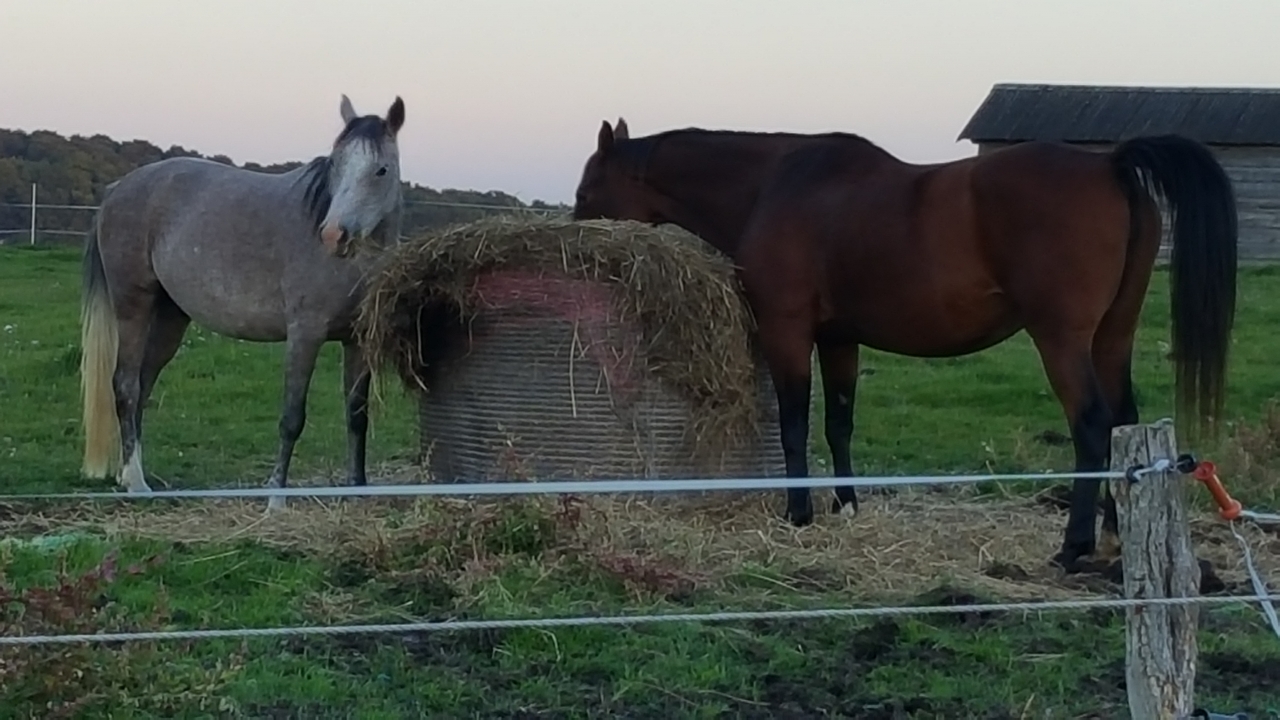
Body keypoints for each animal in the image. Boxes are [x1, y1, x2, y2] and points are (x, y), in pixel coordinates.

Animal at [79, 94, 406, 510]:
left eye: (381, 170)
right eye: (336, 165)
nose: (335, 235)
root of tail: (117, 189)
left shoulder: (358, 341)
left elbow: (357, 414)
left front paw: (357, 491)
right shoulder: (305, 336)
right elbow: (292, 417)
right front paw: (276, 499)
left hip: (170, 316)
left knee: (142, 383)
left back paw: (129, 474)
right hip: (132, 305)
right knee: (125, 385)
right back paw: (137, 483)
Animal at [571, 118, 1237, 571]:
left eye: (585, 191)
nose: (575, 240)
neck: (772, 186)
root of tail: (1110, 165)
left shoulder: (787, 331)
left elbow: (794, 422)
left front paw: (798, 513)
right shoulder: (839, 339)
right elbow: (839, 422)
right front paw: (845, 505)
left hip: (1062, 339)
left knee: (1093, 423)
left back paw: (1073, 547)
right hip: (1112, 336)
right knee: (1123, 421)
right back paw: (1118, 532)